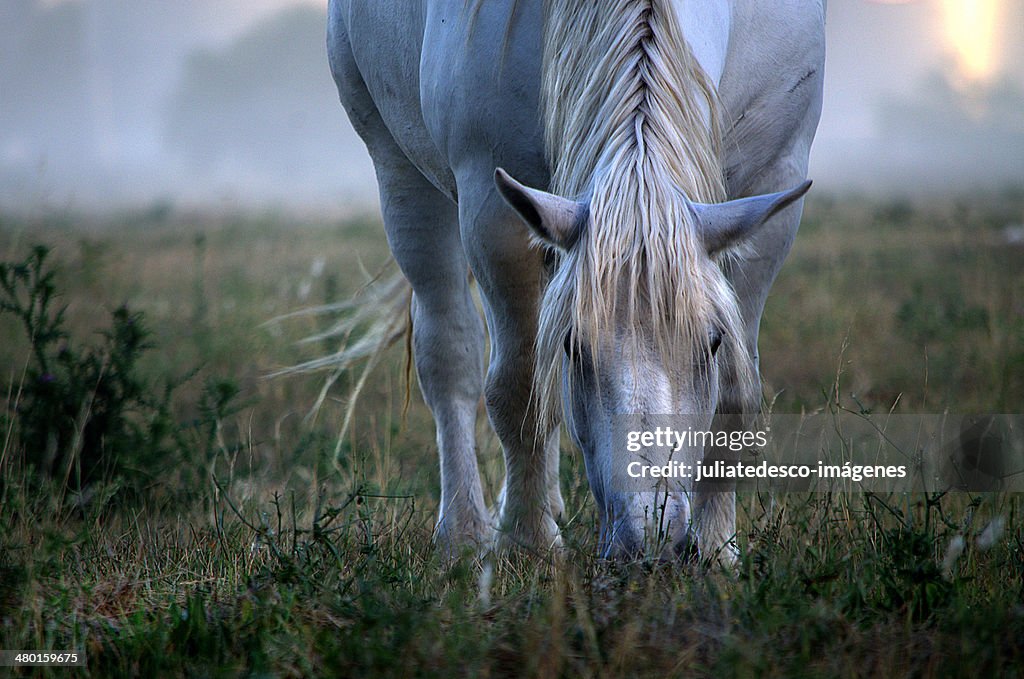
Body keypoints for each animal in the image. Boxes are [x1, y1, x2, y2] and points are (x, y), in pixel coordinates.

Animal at [327, 0, 823, 561]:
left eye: (712, 343)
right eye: (573, 346)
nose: (647, 542)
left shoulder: (775, 185)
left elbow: (737, 396)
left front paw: (718, 552)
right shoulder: (491, 205)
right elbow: (519, 388)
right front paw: (530, 544)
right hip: (402, 174)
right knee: (450, 355)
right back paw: (465, 534)